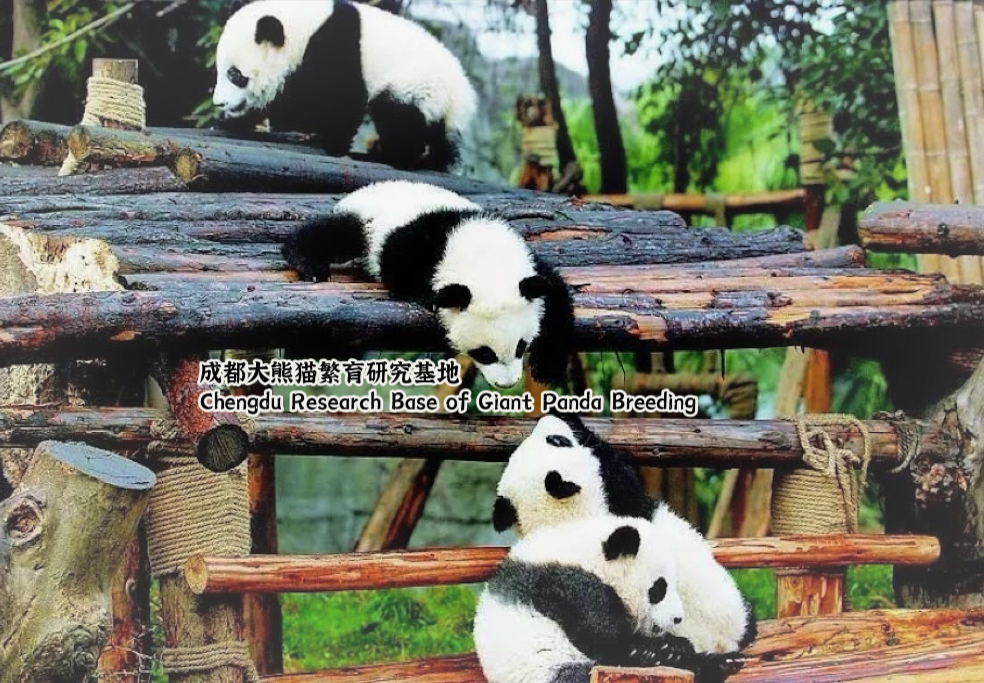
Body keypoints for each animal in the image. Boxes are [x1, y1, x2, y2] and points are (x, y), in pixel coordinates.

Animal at [212, 0, 477, 171]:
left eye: (235, 75)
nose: (219, 103)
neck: (304, 29)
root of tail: (461, 96)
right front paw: (233, 123)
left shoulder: (335, 48)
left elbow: (337, 101)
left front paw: (332, 143)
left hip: (416, 84)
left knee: (397, 117)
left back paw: (387, 155)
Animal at [281, 181, 575, 388]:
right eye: (484, 353)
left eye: (521, 346)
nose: (507, 384)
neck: (481, 253)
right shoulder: (413, 246)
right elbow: (402, 272)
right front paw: (426, 296)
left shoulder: (529, 267)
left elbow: (555, 294)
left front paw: (548, 367)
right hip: (365, 220)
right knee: (336, 232)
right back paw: (308, 263)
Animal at [475, 516, 744, 683]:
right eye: (659, 588)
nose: (678, 618)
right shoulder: (568, 585)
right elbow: (603, 637)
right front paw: (660, 651)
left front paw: (674, 648)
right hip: (546, 670)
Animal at [492, 413, 756, 667]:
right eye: (559, 441)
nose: (547, 420)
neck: (568, 517)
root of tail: (721, 642)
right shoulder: (621, 503)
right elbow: (617, 469)